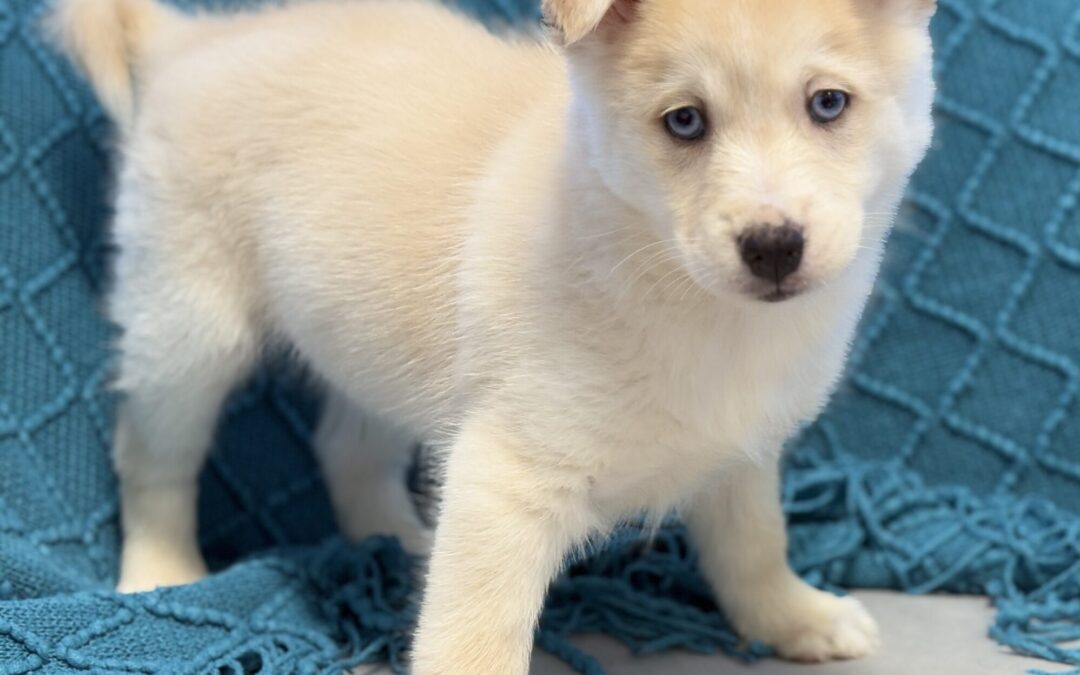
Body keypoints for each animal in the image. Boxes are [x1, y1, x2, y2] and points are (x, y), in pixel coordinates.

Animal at [50, 0, 933, 669]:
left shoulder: (740, 454)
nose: (773, 247)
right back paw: (159, 573)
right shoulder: (503, 481)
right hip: (189, 330)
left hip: (366, 337)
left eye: (828, 103)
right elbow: (474, 636)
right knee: (153, 460)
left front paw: (795, 618)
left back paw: (404, 547)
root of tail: (192, 39)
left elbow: (754, 546)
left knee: (346, 450)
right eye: (685, 121)